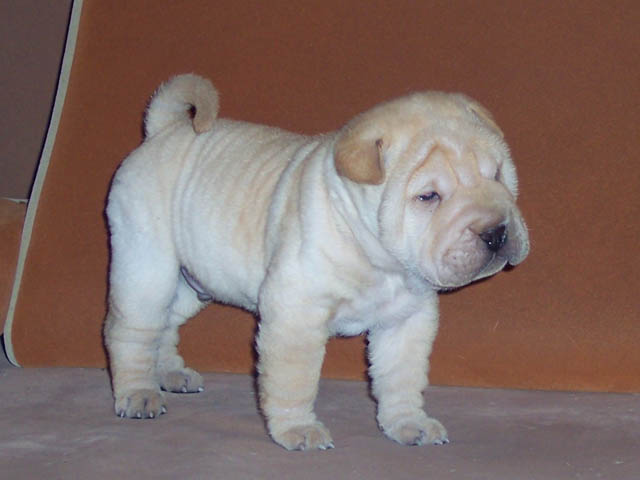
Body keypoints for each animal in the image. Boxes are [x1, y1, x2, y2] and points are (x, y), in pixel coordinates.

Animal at [104, 74, 529, 450]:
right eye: (428, 197)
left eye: (497, 174)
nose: (496, 232)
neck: (381, 260)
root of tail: (163, 131)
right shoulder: (296, 312)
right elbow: (295, 378)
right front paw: (298, 430)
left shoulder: (406, 319)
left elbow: (401, 377)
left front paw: (409, 423)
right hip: (148, 269)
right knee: (131, 332)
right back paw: (139, 393)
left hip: (193, 282)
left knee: (165, 325)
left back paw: (171, 374)